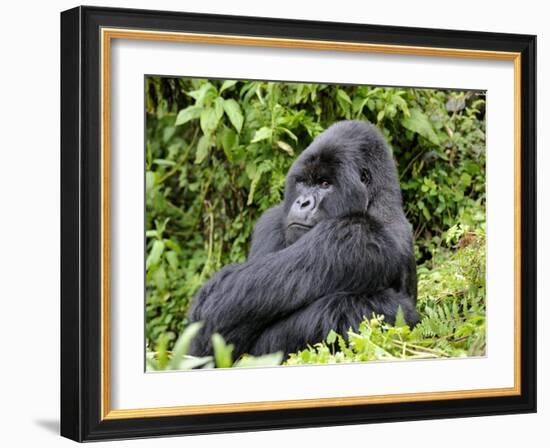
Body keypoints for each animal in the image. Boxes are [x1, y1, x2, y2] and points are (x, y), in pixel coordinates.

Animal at [190, 120, 418, 360]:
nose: (303, 202)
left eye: (325, 183)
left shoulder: (354, 235)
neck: (378, 203)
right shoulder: (272, 220)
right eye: (303, 182)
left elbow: (219, 305)